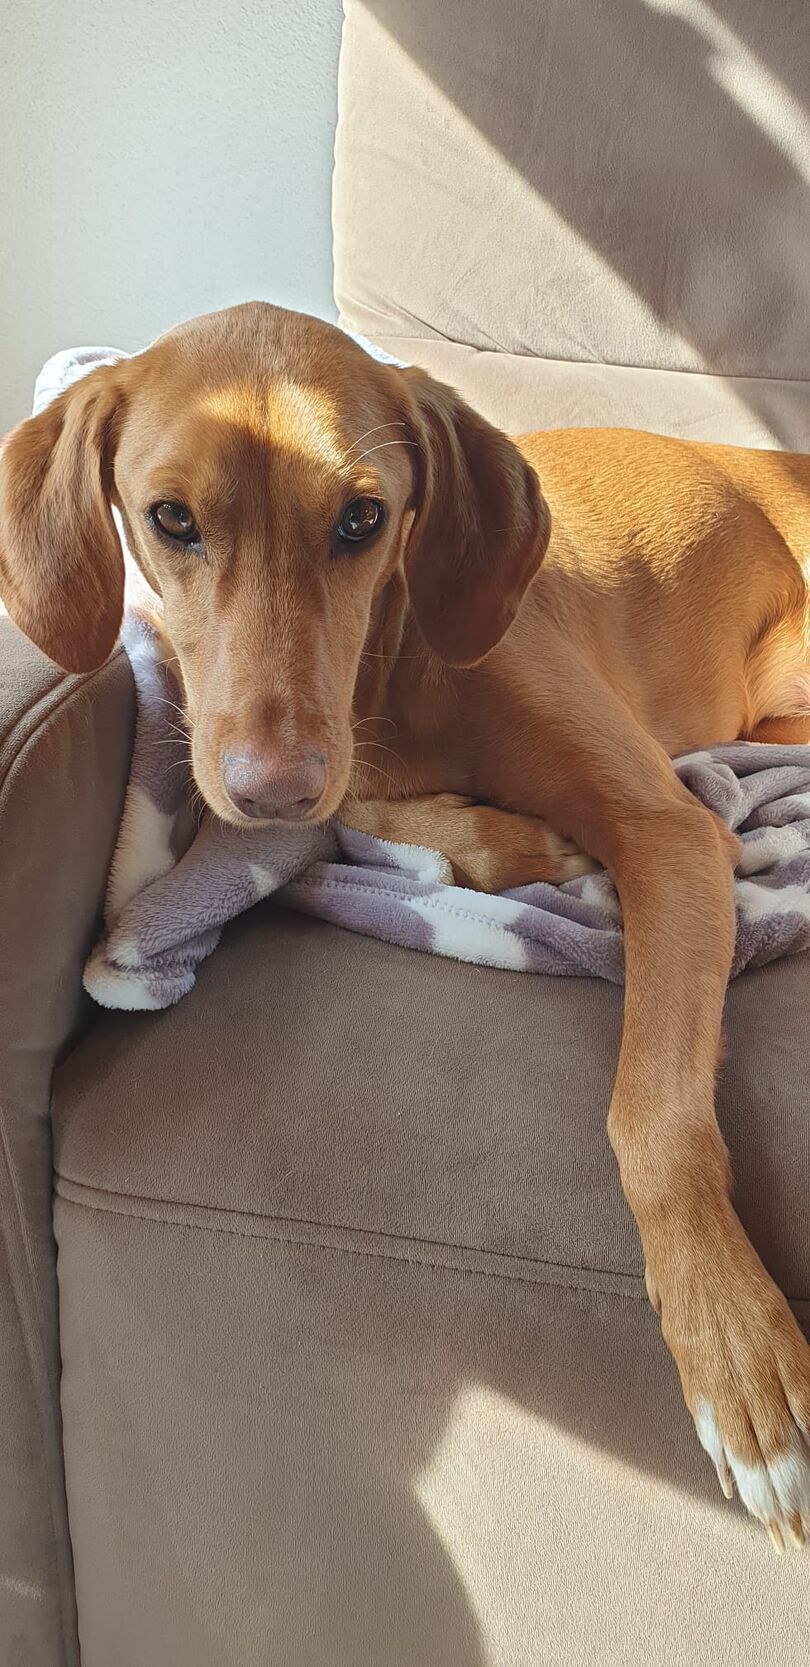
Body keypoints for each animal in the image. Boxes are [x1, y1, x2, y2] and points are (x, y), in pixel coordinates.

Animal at [1, 301, 809, 1549]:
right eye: (171, 519)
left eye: (362, 519)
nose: (271, 787)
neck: (398, 672)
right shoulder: (315, 772)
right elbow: (354, 811)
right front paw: (521, 845)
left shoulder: (669, 833)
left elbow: (651, 1113)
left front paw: (738, 1351)